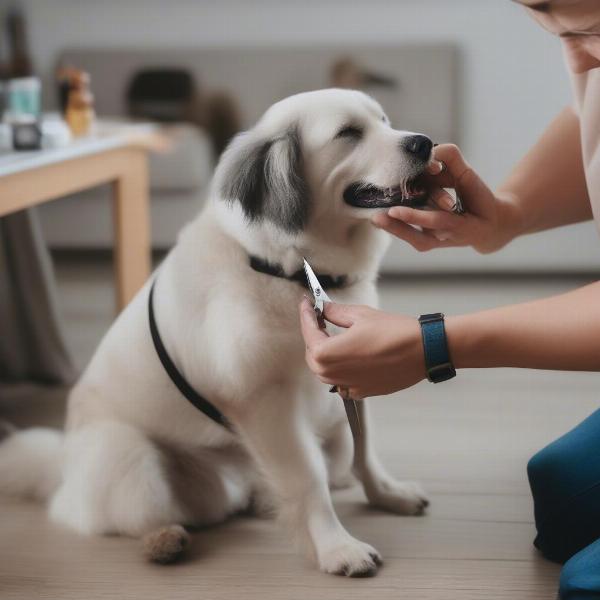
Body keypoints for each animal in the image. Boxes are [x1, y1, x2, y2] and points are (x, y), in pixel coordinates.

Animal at [0, 88, 434, 576]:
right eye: (348, 133)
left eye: (385, 121)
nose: (424, 143)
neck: (287, 268)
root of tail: (61, 473)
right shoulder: (263, 399)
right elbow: (309, 478)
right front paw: (336, 547)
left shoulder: (348, 371)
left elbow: (363, 450)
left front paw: (387, 494)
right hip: (131, 459)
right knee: (126, 517)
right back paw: (164, 540)